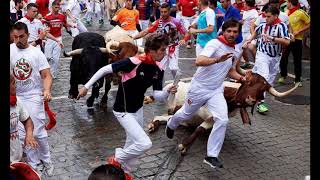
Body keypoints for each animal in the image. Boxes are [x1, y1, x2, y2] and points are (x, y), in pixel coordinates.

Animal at [146, 73, 300, 155]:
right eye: (249, 82)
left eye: (262, 90)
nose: (251, 99)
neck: (228, 99)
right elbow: (180, 110)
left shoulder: (213, 120)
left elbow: (199, 129)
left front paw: (184, 145)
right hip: (168, 90)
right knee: (163, 96)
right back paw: (149, 99)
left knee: (161, 117)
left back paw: (153, 124)